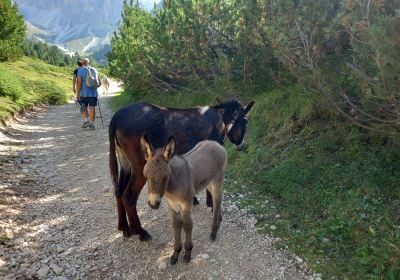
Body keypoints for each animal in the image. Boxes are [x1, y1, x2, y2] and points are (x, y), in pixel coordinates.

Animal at [141, 135, 228, 264]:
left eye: (165, 177)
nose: (153, 203)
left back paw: (214, 231)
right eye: (146, 176)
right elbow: (176, 225)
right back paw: (220, 218)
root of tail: (216, 143)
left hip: (217, 179)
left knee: (217, 200)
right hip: (207, 182)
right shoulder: (172, 205)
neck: (172, 187)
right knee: (218, 197)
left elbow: (187, 225)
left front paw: (188, 253)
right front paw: (175, 253)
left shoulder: (186, 204)